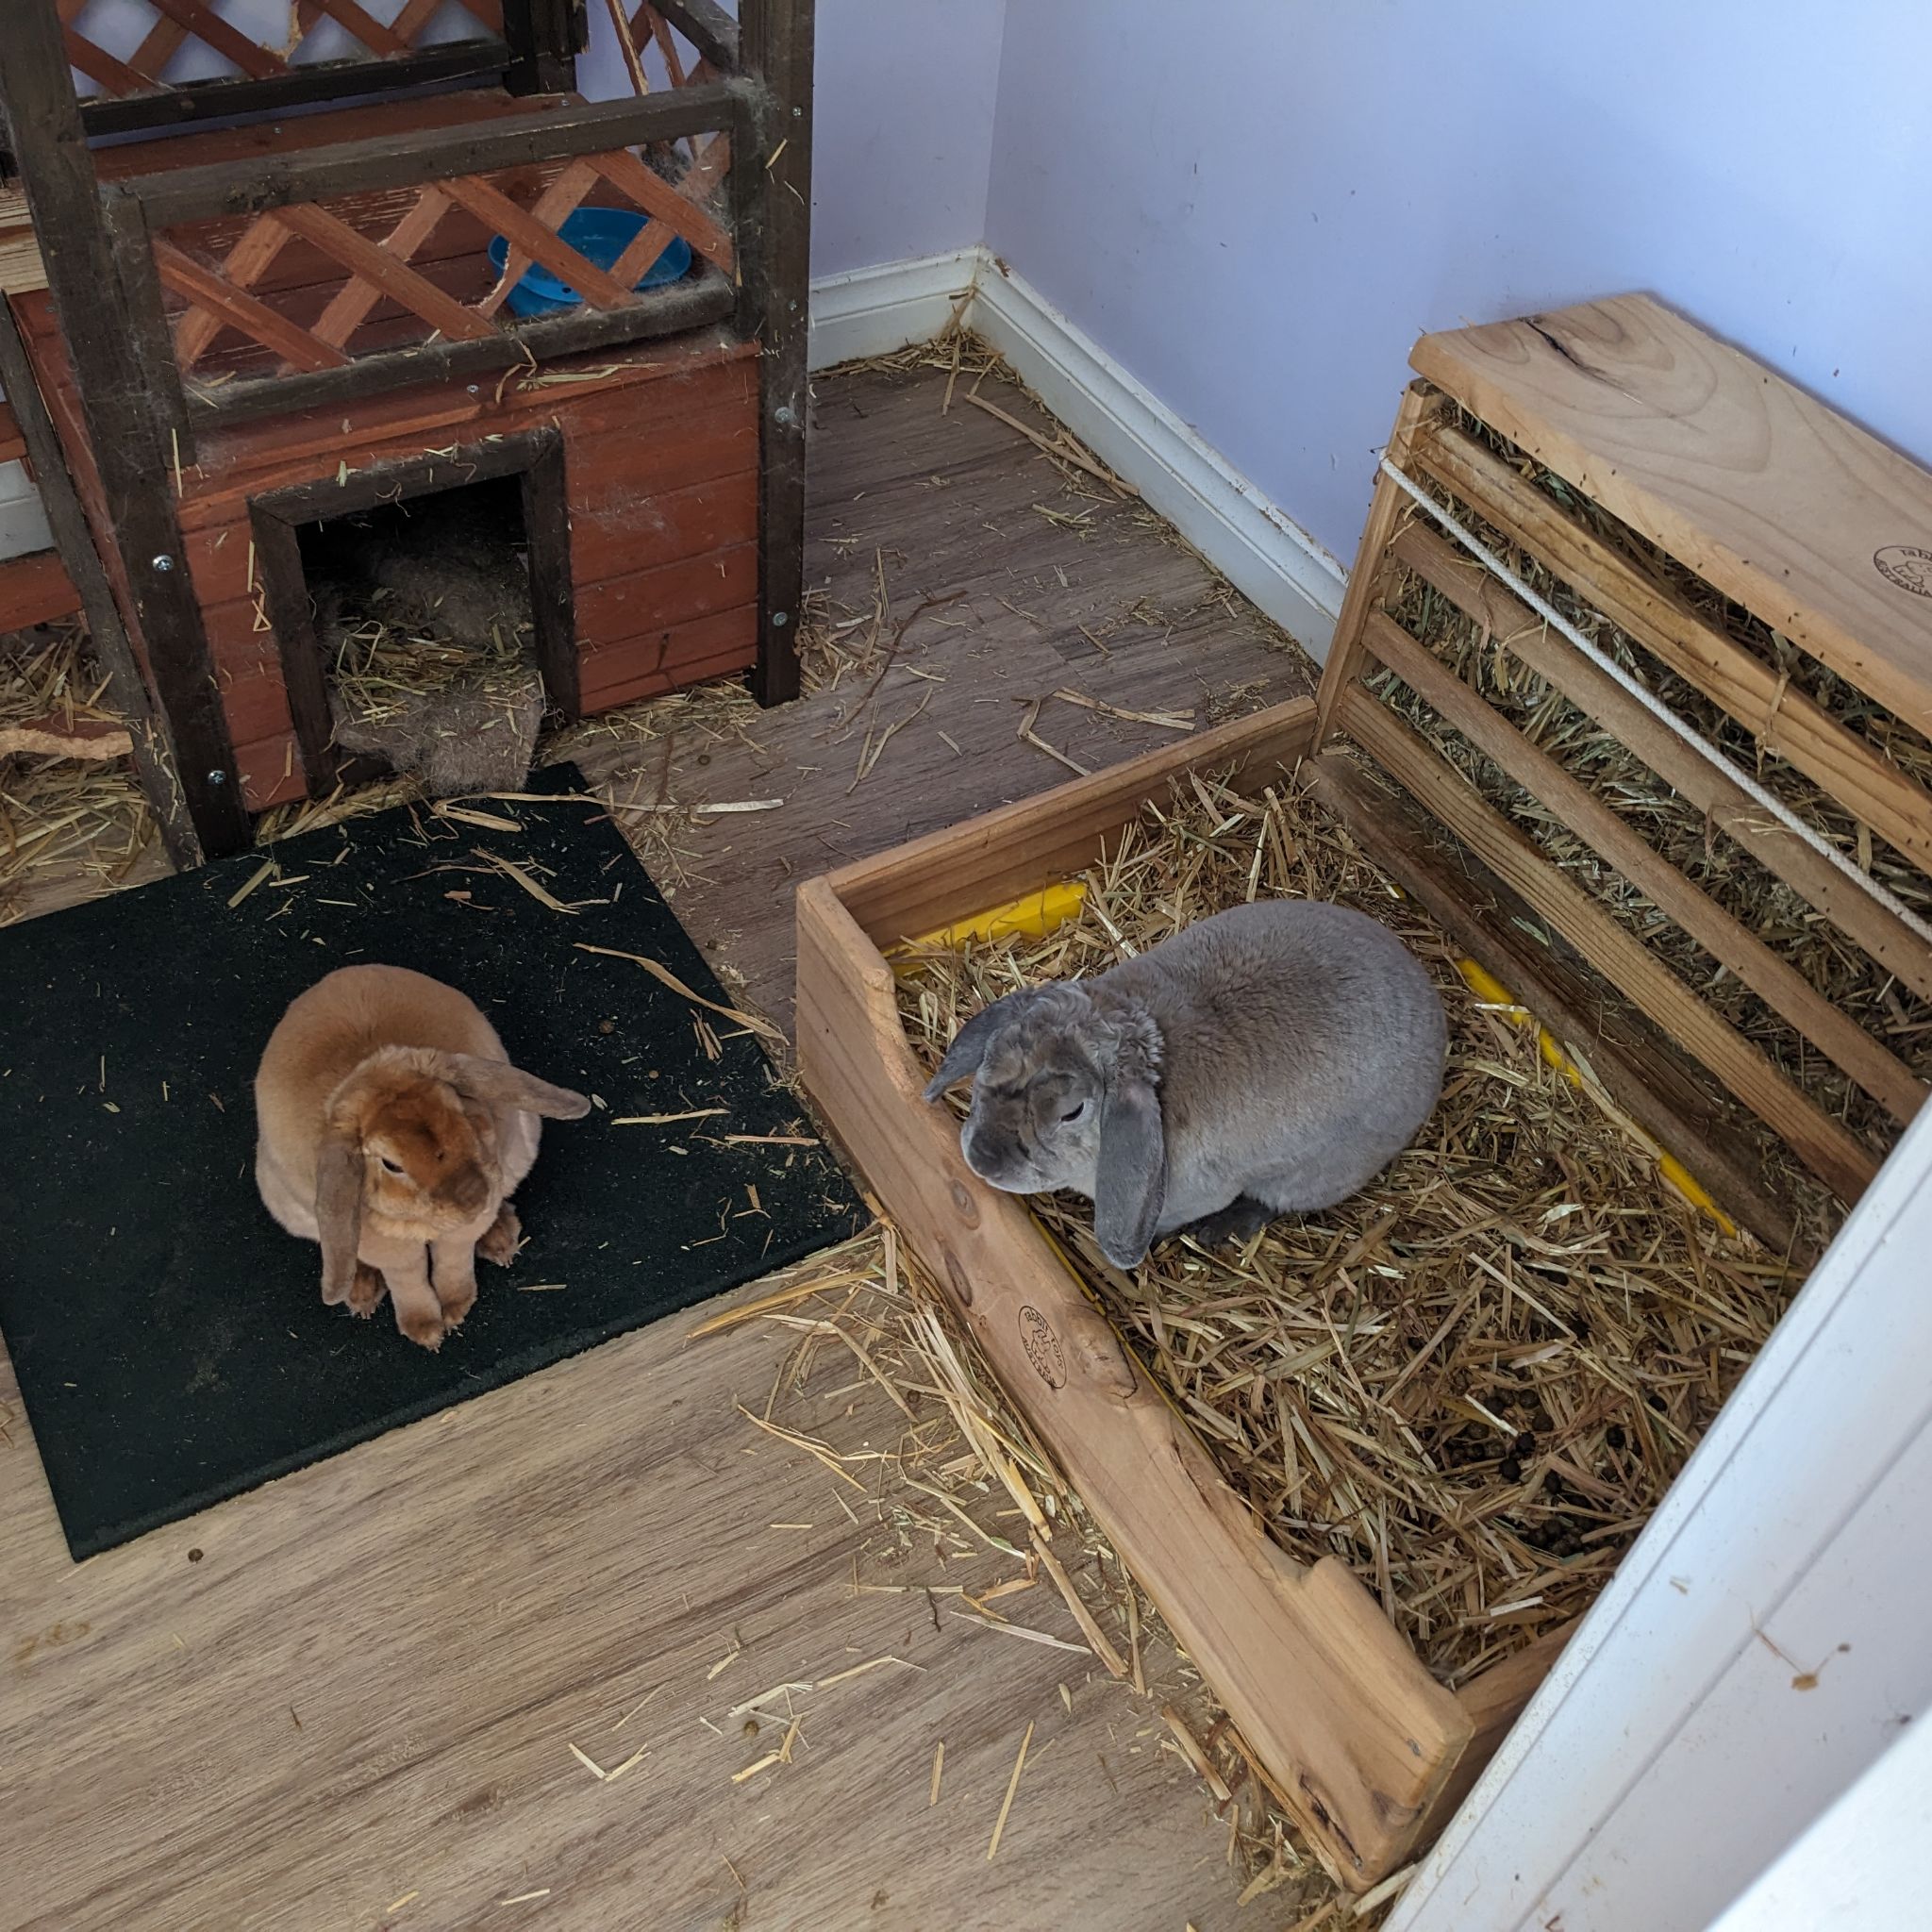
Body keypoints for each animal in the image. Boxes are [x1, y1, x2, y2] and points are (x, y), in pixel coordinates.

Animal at [254, 964, 590, 1349]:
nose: (475, 1196)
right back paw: (360, 1291)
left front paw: (456, 1309)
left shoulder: (465, 1227)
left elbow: (453, 1258)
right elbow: (408, 1278)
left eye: (459, 1110)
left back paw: (501, 1240)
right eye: (391, 1164)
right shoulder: (390, 1251)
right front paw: (426, 1331)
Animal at [924, 900, 1446, 1270]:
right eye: (993, 1052)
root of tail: (1433, 1006)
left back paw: (1220, 1230)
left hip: (1318, 1173)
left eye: (1071, 1111)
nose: (981, 1158)